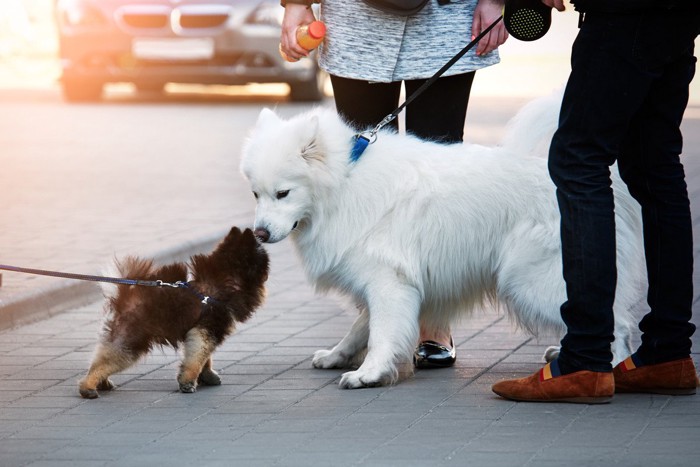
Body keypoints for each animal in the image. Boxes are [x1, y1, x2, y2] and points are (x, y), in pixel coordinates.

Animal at [78, 227, 270, 398]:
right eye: (263, 257)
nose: (262, 238)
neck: (225, 283)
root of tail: (123, 295)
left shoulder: (201, 330)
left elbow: (205, 358)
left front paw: (207, 375)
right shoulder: (206, 331)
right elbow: (197, 359)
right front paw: (188, 382)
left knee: (102, 357)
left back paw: (101, 382)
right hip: (131, 339)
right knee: (109, 359)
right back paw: (88, 388)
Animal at [239, 99, 644, 392]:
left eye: (283, 193)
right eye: (255, 194)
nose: (259, 234)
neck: (344, 181)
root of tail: (609, 186)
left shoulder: (389, 283)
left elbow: (381, 332)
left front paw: (369, 374)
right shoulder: (386, 283)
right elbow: (361, 327)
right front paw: (339, 356)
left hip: (531, 281)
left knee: (618, 323)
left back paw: (603, 371)